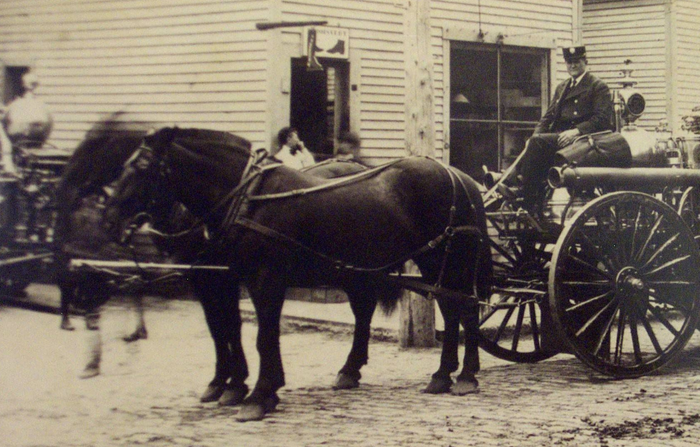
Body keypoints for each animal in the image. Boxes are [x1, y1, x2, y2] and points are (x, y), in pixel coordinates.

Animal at [102, 128, 492, 422]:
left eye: (143, 167)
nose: (109, 218)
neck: (248, 199)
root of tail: (459, 176)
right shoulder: (226, 278)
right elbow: (228, 330)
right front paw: (236, 386)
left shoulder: (260, 278)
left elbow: (261, 335)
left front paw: (257, 394)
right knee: (445, 311)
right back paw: (434, 375)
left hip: (448, 259)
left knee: (465, 311)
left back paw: (465, 375)